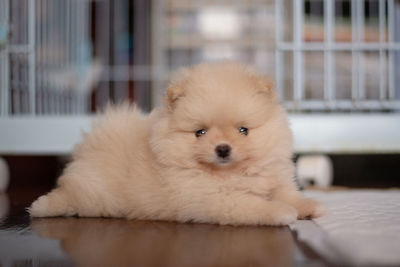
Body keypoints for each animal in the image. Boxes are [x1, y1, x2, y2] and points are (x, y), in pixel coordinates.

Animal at [28, 61, 322, 226]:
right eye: (200, 132)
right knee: (69, 195)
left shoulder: (275, 179)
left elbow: (287, 193)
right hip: (95, 196)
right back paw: (40, 207)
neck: (232, 174)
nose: (222, 148)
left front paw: (307, 206)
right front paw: (282, 213)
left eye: (243, 131)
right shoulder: (215, 200)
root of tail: (94, 141)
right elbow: (256, 206)